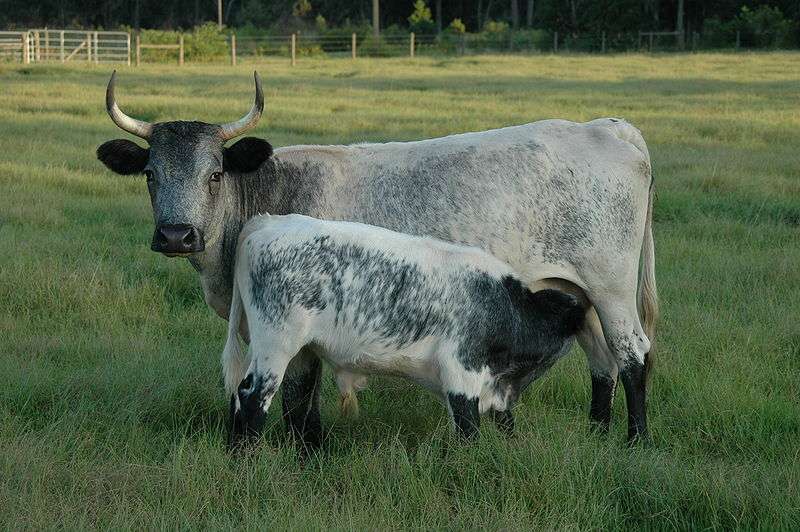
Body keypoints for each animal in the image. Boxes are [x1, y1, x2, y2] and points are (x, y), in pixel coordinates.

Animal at [224, 214, 587, 447]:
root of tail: (268, 222)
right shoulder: (461, 372)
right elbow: (468, 432)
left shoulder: (495, 391)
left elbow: (505, 423)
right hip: (276, 344)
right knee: (253, 398)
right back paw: (248, 459)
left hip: (290, 349)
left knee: (272, 398)